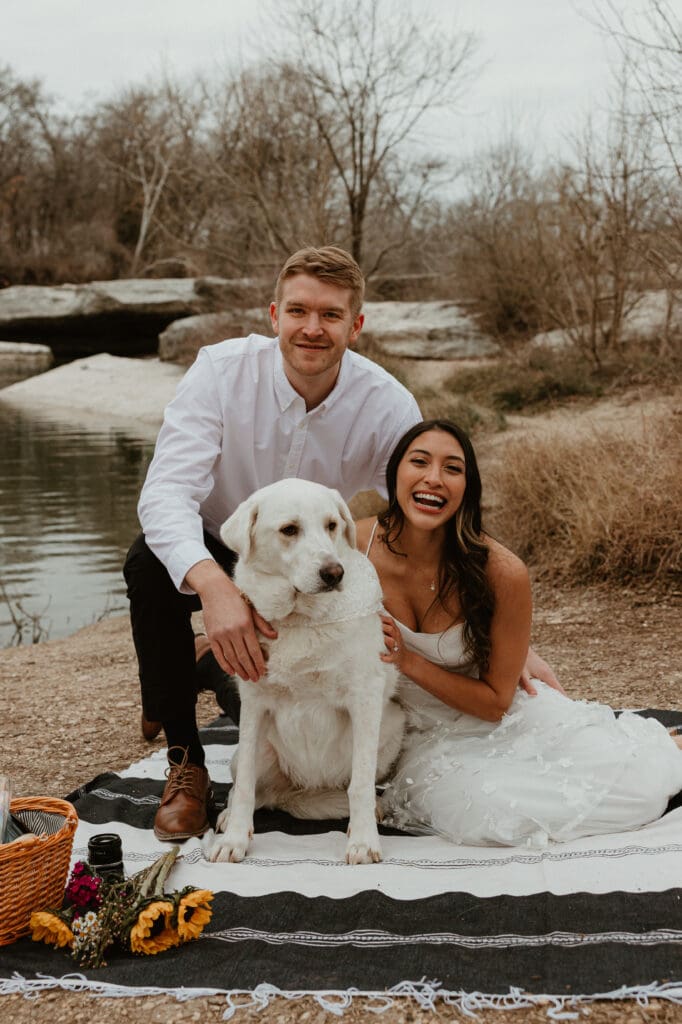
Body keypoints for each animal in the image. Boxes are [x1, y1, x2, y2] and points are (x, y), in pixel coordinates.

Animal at [202, 479, 403, 864]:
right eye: (289, 530)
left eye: (332, 525)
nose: (334, 573)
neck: (300, 620)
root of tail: (304, 790)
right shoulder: (254, 705)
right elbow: (246, 785)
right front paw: (234, 840)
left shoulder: (365, 699)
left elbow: (360, 785)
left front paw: (363, 841)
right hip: (259, 749)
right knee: (250, 789)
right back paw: (230, 816)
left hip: (390, 731)